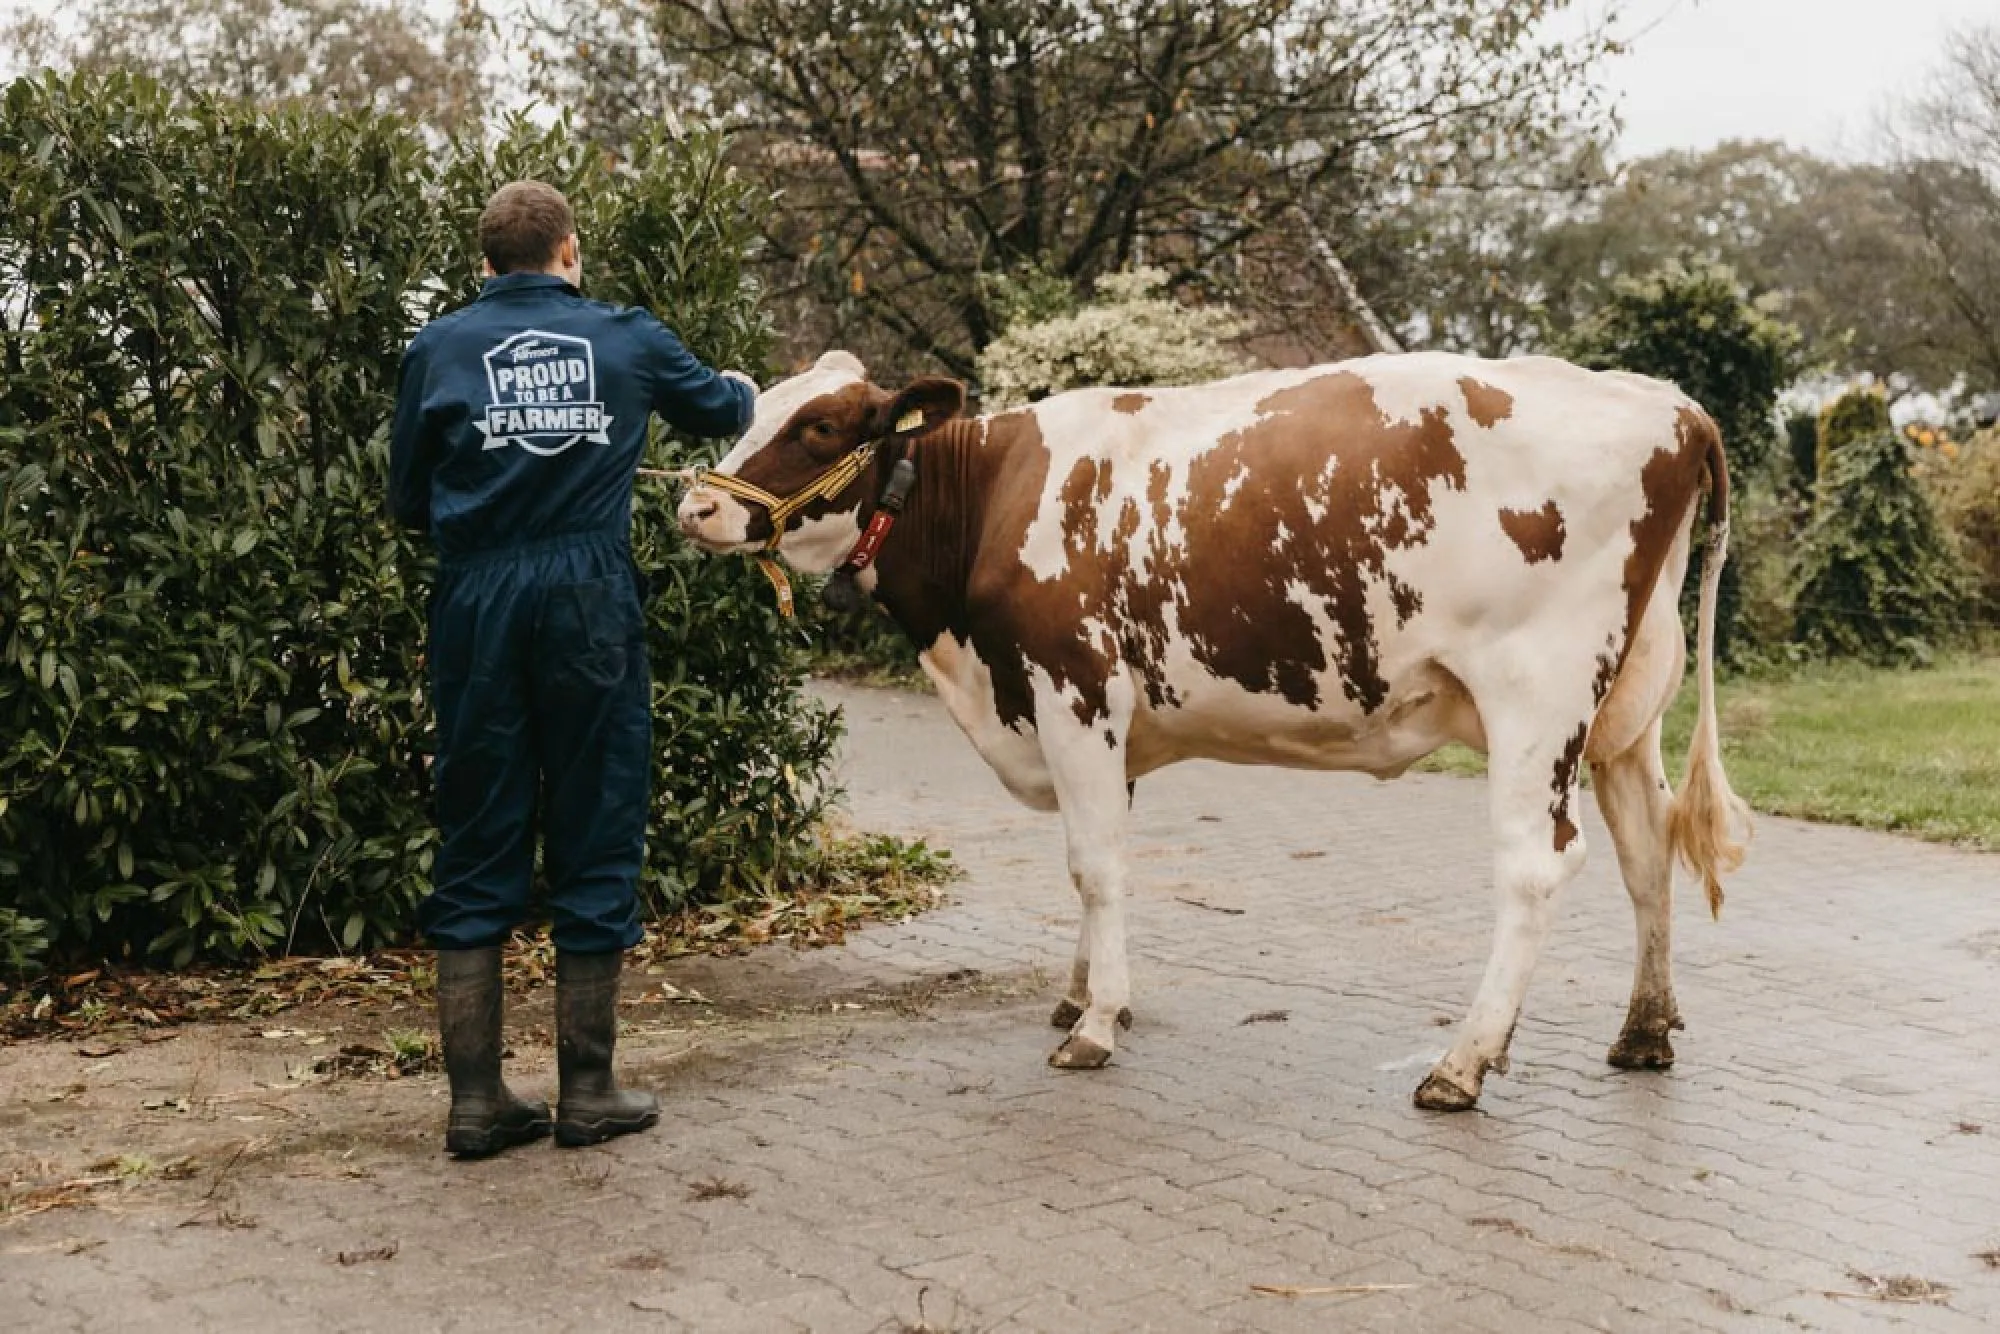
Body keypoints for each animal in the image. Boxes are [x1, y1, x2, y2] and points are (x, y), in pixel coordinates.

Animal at [680, 350, 1744, 1112]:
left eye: (819, 425)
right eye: (752, 411)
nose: (693, 505)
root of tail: (1666, 403)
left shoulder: (1073, 691)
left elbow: (1094, 865)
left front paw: (1094, 1027)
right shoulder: (1104, 724)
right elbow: (1099, 857)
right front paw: (1083, 992)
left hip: (1537, 697)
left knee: (1537, 865)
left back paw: (1463, 1063)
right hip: (1624, 712)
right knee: (1646, 849)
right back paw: (1644, 1032)